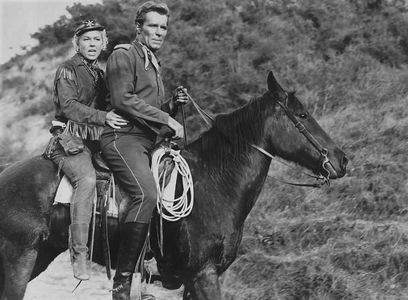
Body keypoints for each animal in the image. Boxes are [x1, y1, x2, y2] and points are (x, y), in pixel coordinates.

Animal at [0, 71, 348, 298]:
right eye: (302, 115)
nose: (341, 160)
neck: (214, 182)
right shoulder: (203, 274)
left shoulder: (197, 278)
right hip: (19, 258)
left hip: (41, 254)